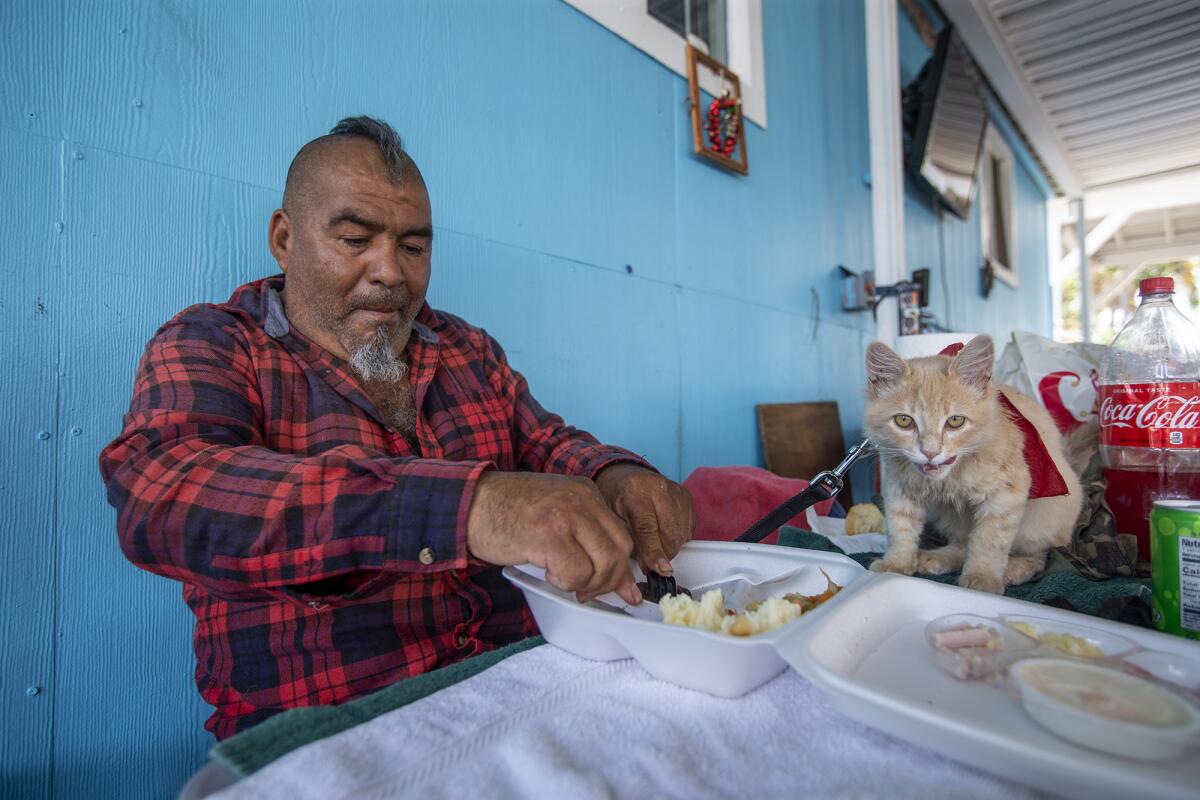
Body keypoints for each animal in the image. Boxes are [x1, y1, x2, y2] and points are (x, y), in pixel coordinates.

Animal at [864, 335, 1089, 592]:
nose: (930, 452)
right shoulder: (900, 488)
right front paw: (896, 564)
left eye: (955, 421)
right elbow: (900, 528)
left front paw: (983, 578)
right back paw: (937, 558)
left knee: (1039, 556)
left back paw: (1013, 570)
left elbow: (989, 541)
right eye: (904, 421)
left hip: (1038, 524)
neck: (951, 476)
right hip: (950, 516)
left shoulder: (1006, 494)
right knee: (963, 544)